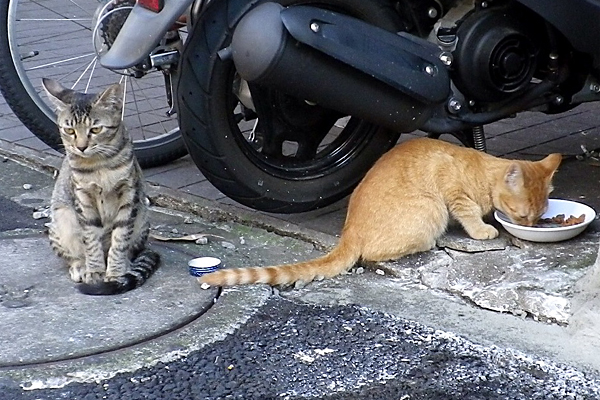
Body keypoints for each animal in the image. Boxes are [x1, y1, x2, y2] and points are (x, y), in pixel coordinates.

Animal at [42, 79, 161, 296]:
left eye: (95, 130)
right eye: (69, 131)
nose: (81, 147)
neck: (99, 165)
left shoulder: (128, 194)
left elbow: (120, 240)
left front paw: (115, 272)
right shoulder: (83, 198)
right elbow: (90, 239)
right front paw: (95, 270)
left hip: (142, 219)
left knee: (130, 248)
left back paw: (126, 264)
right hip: (61, 219)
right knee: (73, 253)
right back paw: (81, 266)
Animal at [202, 138, 564, 288]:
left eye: (536, 218)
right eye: (522, 217)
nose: (532, 226)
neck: (481, 171)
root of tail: (349, 230)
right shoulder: (454, 194)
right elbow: (469, 213)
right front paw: (483, 229)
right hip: (430, 210)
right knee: (375, 253)